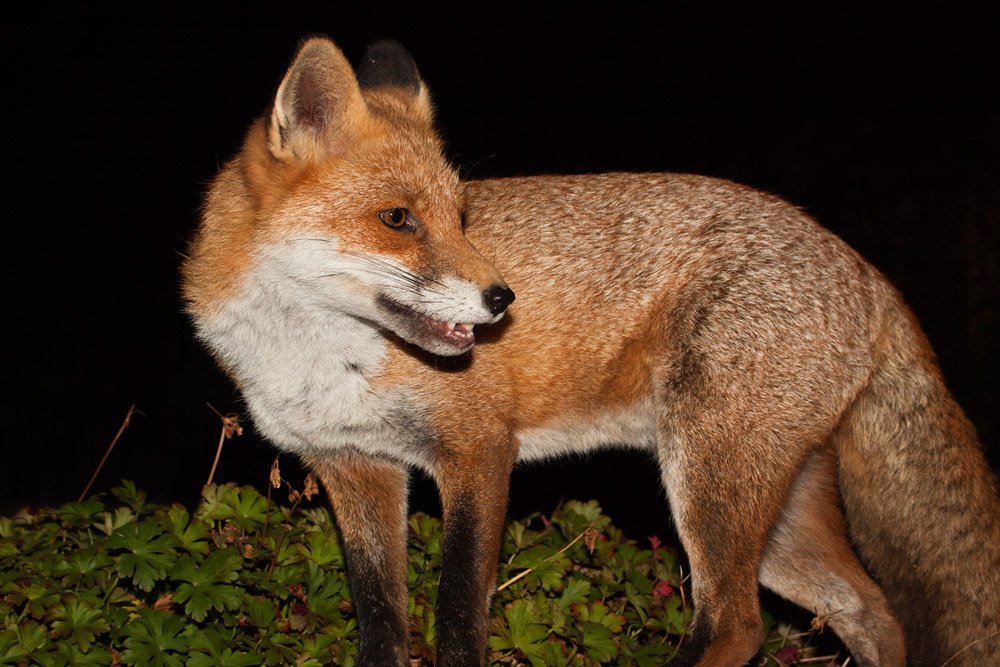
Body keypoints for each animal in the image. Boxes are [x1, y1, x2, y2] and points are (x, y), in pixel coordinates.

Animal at [181, 35, 1000, 667]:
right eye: (398, 219)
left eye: (461, 216)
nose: (501, 299)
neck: (317, 360)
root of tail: (869, 272)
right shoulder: (356, 465)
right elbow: (382, 624)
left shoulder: (479, 449)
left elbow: (457, 616)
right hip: (774, 515)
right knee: (870, 609)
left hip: (710, 478)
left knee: (737, 624)